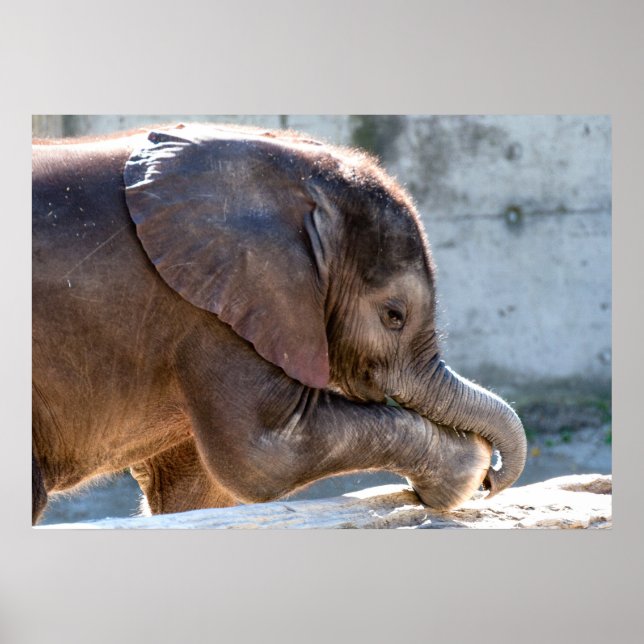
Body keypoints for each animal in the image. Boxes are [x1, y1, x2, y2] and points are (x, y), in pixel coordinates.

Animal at [32, 122, 526, 525]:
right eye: (394, 316)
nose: (493, 481)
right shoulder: (211, 308)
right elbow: (266, 455)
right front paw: (467, 469)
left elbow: (197, 490)